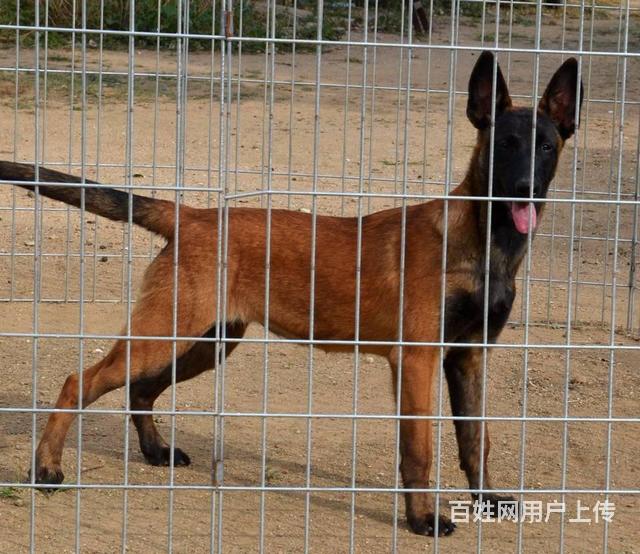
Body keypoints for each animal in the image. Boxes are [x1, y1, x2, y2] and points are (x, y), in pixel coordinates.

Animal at [0, 51, 584, 536]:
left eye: (546, 146)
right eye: (504, 145)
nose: (526, 190)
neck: (481, 241)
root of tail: (192, 216)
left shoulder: (468, 358)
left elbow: (475, 440)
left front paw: (486, 499)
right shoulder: (417, 361)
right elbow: (418, 449)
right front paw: (422, 519)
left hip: (207, 342)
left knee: (140, 390)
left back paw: (155, 451)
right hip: (167, 333)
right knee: (80, 381)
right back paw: (47, 467)